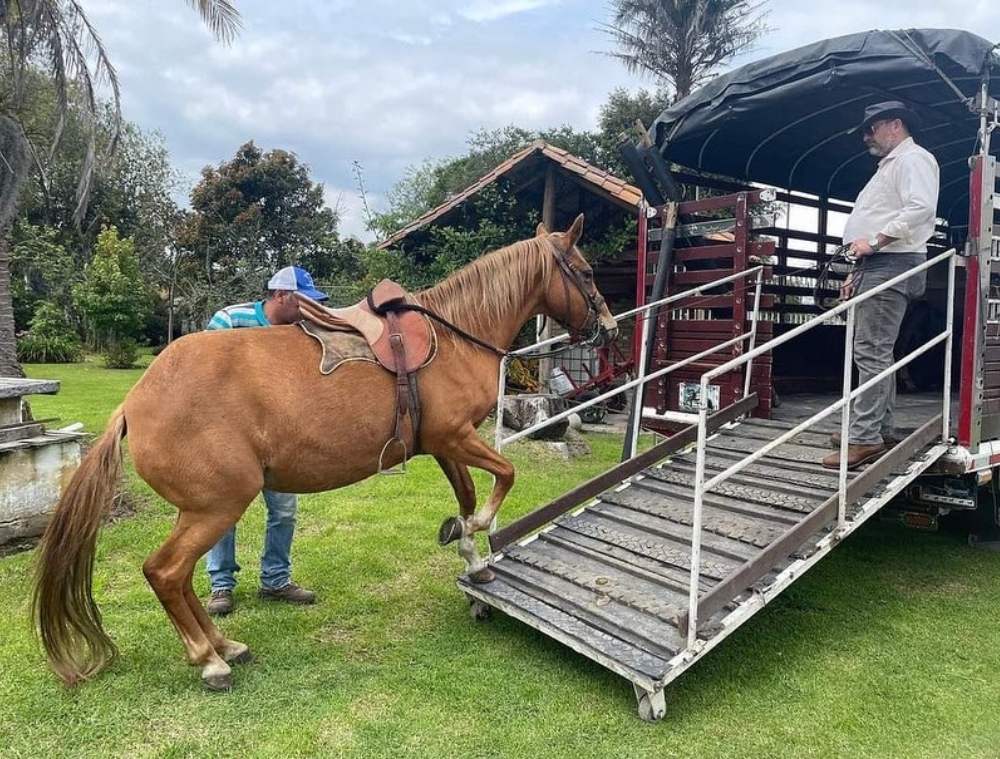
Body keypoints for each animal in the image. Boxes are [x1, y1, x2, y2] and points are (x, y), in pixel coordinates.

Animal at [32, 214, 618, 691]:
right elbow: (505, 475)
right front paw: (473, 537)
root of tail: (134, 402)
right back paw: (209, 658)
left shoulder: (443, 443)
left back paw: (224, 645)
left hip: (200, 507)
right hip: (218, 505)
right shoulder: (456, 437)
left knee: (176, 575)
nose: (607, 328)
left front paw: (472, 554)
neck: (455, 335)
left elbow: (470, 494)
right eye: (587, 273)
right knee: (166, 571)